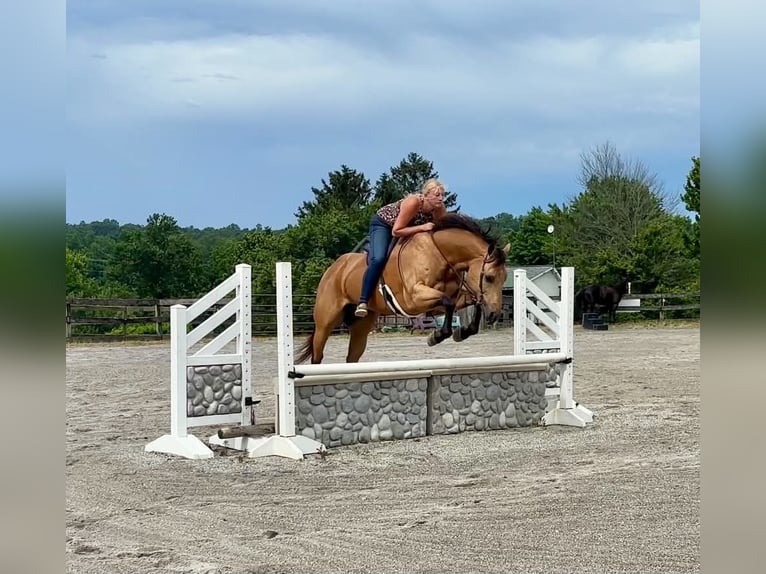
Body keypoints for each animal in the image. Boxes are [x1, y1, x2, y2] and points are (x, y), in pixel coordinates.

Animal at [295, 213, 510, 364]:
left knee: (352, 358)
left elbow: (470, 303)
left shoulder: (441, 302)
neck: (440, 254)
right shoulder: (414, 300)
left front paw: (461, 332)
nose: (494, 315)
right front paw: (437, 336)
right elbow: (449, 303)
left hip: (361, 327)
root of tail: (333, 269)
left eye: (504, 278)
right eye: (489, 277)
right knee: (317, 356)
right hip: (325, 322)